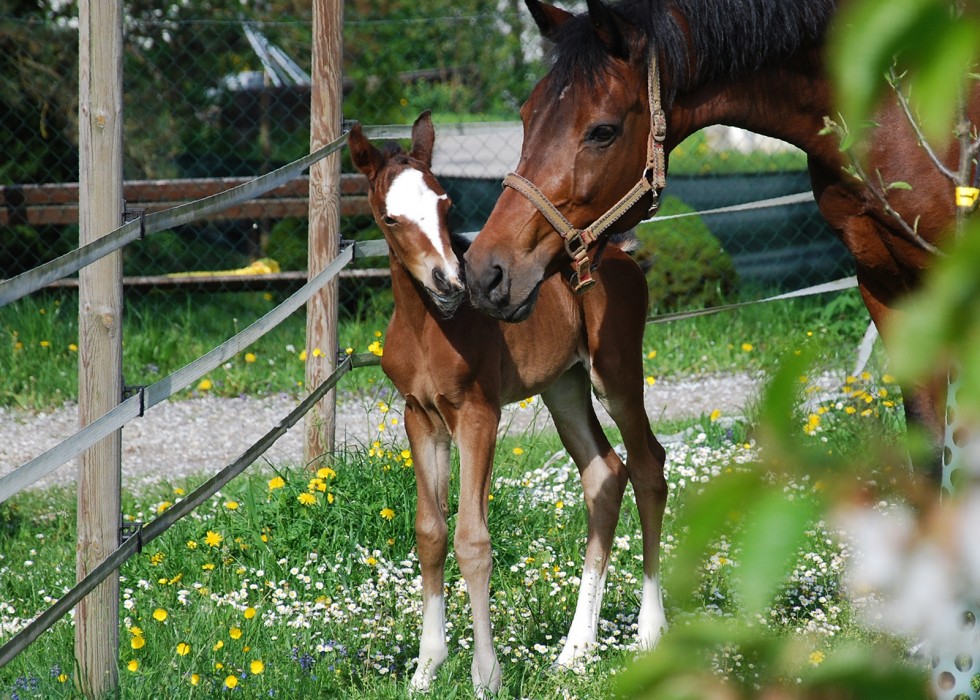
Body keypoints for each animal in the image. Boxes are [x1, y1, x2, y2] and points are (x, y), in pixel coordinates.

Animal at [348, 110, 668, 696]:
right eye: (389, 217)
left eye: (446, 203)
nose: (450, 282)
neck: (430, 326)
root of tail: (618, 254)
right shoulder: (420, 417)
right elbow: (430, 533)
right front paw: (425, 670)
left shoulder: (478, 414)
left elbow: (472, 541)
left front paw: (485, 676)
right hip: (564, 387)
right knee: (604, 473)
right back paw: (575, 650)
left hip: (615, 375)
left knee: (647, 466)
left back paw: (650, 631)